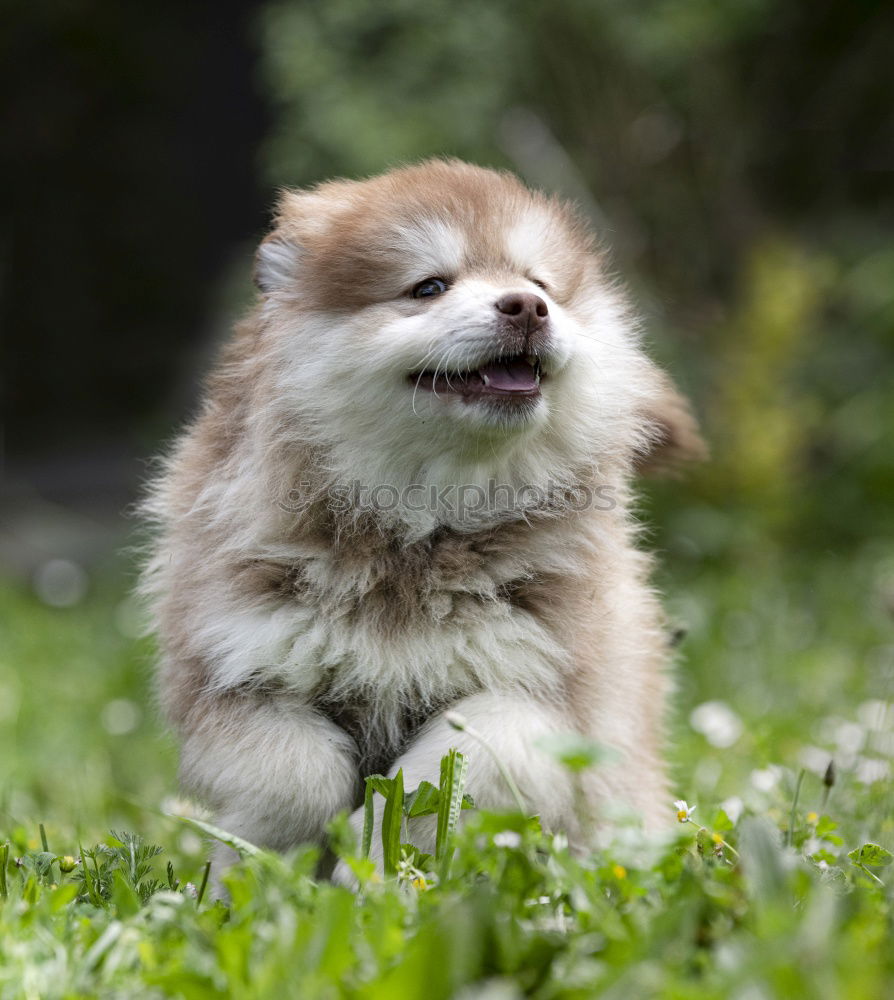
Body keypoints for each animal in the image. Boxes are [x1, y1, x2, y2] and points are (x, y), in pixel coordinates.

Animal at [140, 156, 704, 868]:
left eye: (539, 283)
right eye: (429, 286)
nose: (527, 306)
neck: (422, 526)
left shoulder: (545, 697)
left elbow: (440, 776)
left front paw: (380, 861)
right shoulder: (233, 669)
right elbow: (296, 776)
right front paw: (271, 864)